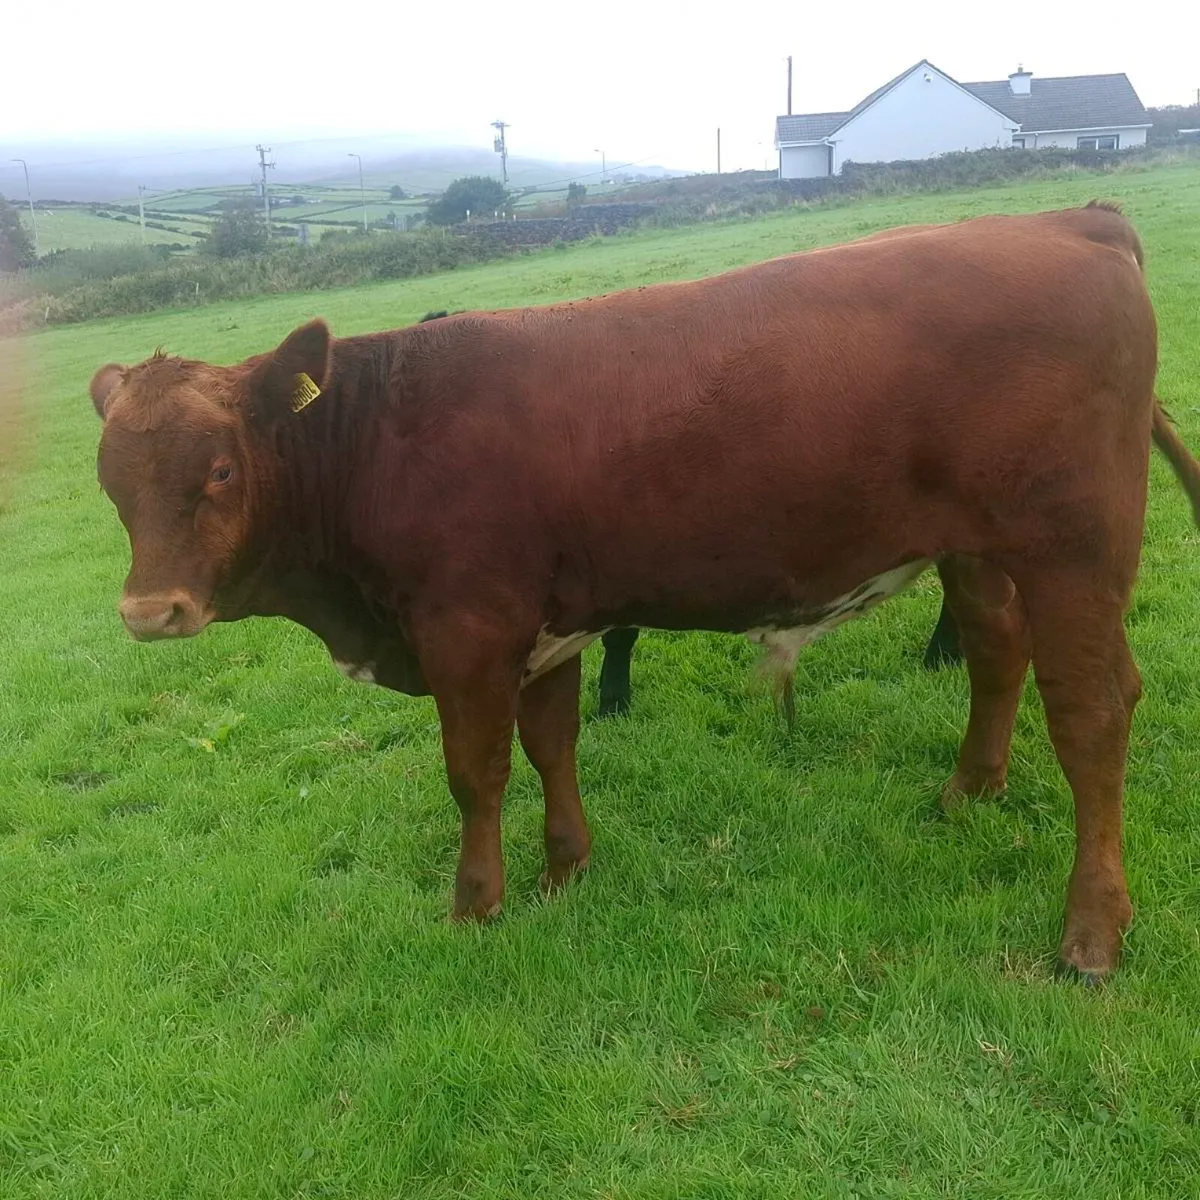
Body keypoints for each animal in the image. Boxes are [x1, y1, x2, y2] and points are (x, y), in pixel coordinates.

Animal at [89, 203, 1200, 980]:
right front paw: (565, 869)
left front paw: (476, 904)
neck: (379, 437)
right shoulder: (543, 629)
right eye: (109, 482)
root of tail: (1071, 220)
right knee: (999, 649)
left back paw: (1092, 933)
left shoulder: (466, 630)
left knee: (1093, 715)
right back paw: (967, 792)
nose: (149, 614)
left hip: (1072, 550)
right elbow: (553, 744)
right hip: (984, 552)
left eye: (220, 471)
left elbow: (476, 773)